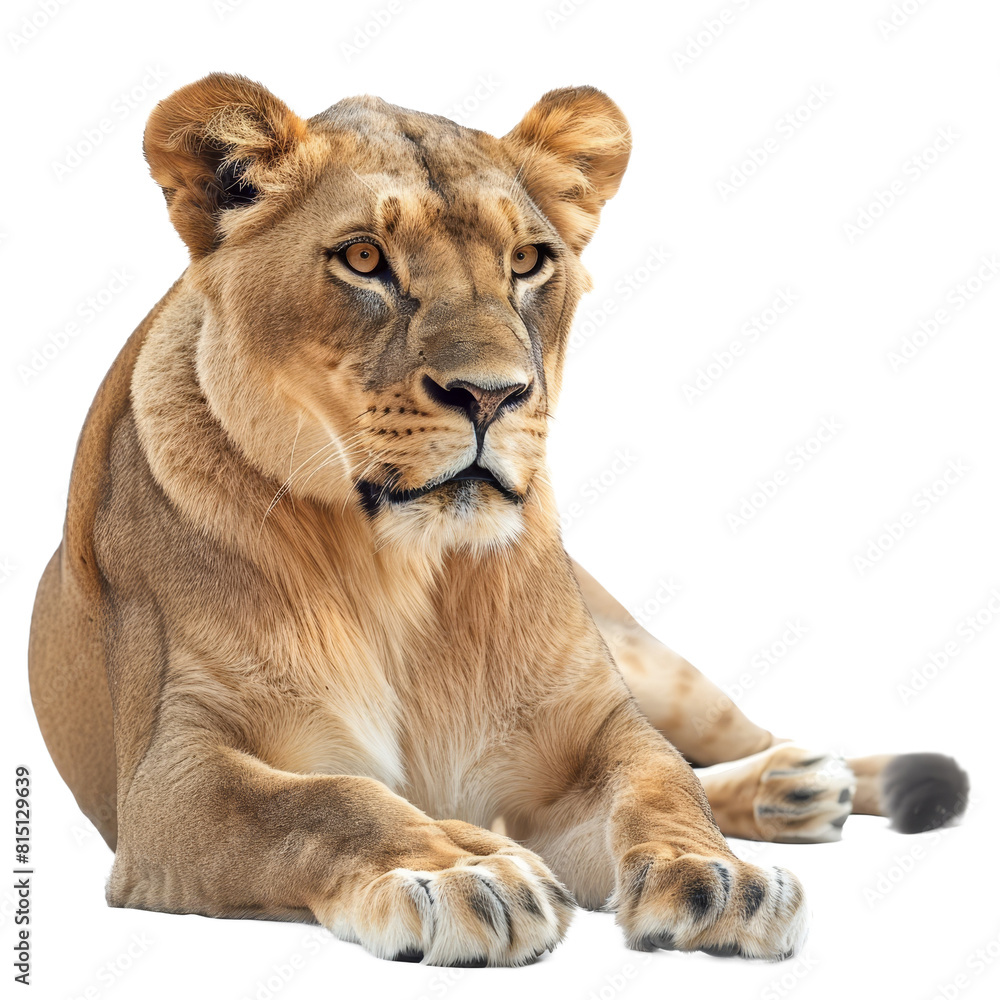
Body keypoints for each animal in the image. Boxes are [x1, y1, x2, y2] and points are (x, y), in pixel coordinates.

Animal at [29, 73, 968, 966]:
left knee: (729, 741)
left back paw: (811, 779)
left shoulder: (589, 728)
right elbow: (332, 800)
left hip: (656, 667)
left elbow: (660, 779)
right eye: (363, 257)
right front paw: (457, 870)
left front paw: (719, 877)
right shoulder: (169, 781)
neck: (403, 570)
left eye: (526, 260)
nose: (492, 394)